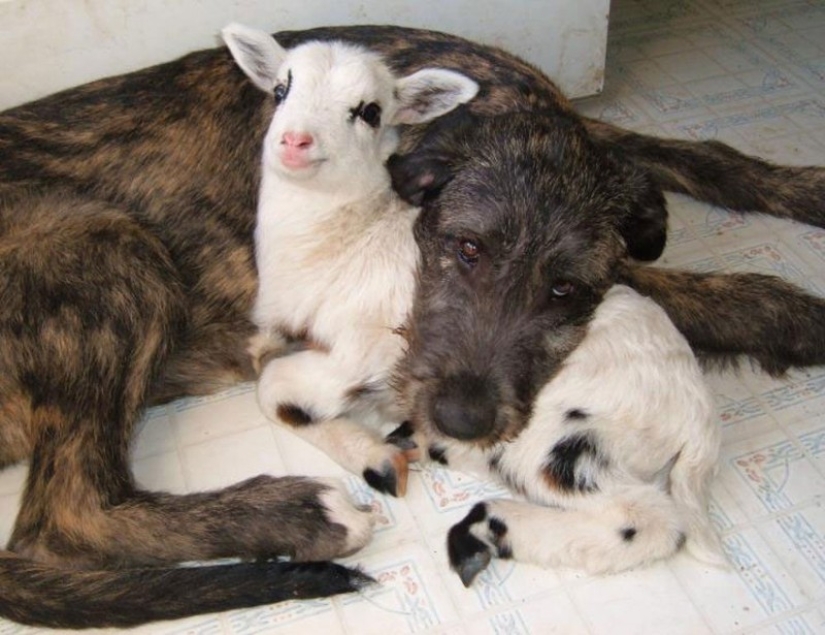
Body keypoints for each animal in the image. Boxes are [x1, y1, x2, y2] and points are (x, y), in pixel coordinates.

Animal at [220, 23, 476, 496]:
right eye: (281, 90)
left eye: (370, 111)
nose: (295, 140)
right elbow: (265, 359)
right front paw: (376, 454)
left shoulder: (367, 348)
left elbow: (273, 389)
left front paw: (375, 458)